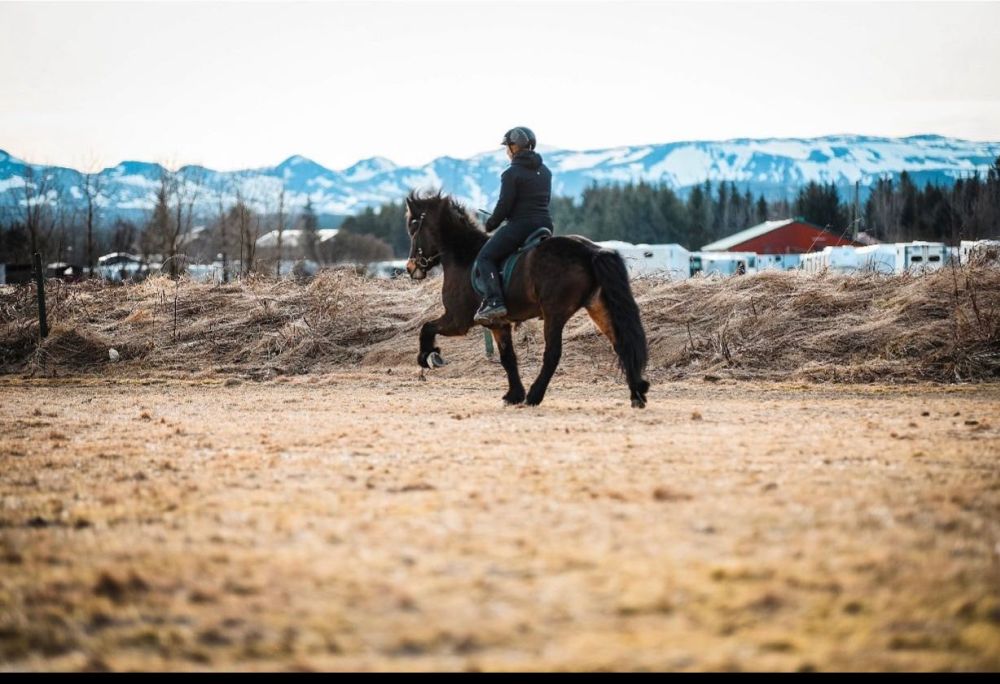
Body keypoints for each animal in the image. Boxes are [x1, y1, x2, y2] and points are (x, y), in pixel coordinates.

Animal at [404, 190, 650, 408]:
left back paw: (534, 395)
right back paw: (637, 394)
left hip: (554, 313)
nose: (411, 268)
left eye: (414, 227)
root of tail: (591, 251)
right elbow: (508, 358)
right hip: (597, 306)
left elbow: (427, 327)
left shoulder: (458, 320)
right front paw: (513, 395)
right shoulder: (498, 324)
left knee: (552, 354)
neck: (464, 256)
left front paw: (428, 356)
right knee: (621, 344)